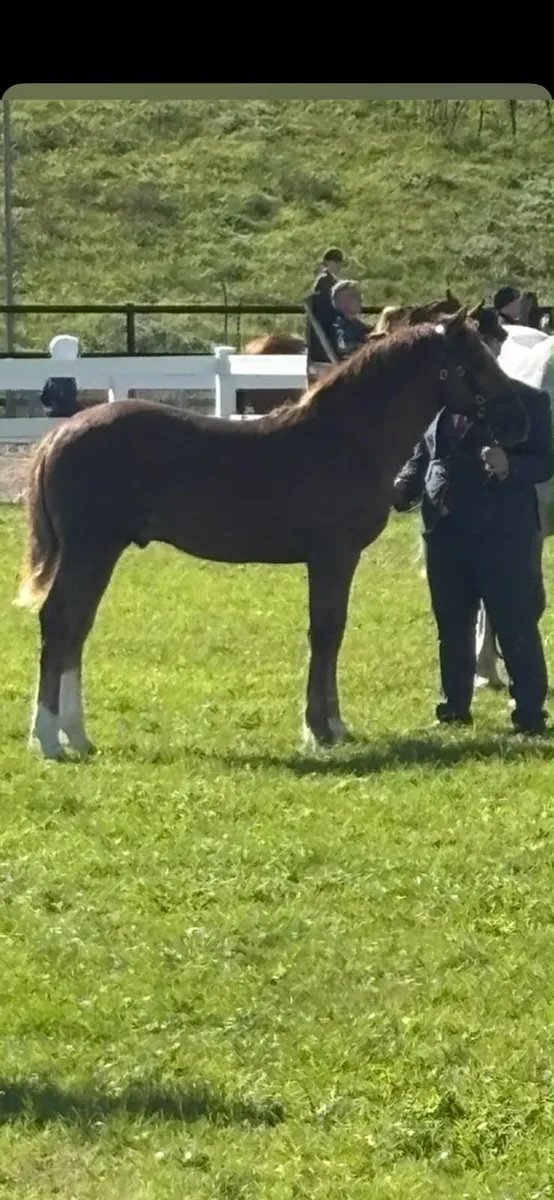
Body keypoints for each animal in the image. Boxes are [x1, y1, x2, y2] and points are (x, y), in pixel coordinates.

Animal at [15, 308, 529, 761]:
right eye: (476, 362)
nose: (518, 421)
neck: (347, 440)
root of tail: (58, 435)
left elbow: (330, 633)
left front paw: (333, 726)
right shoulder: (333, 557)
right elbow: (326, 632)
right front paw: (320, 729)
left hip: (101, 553)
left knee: (76, 627)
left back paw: (76, 736)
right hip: (90, 550)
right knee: (58, 622)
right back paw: (48, 740)